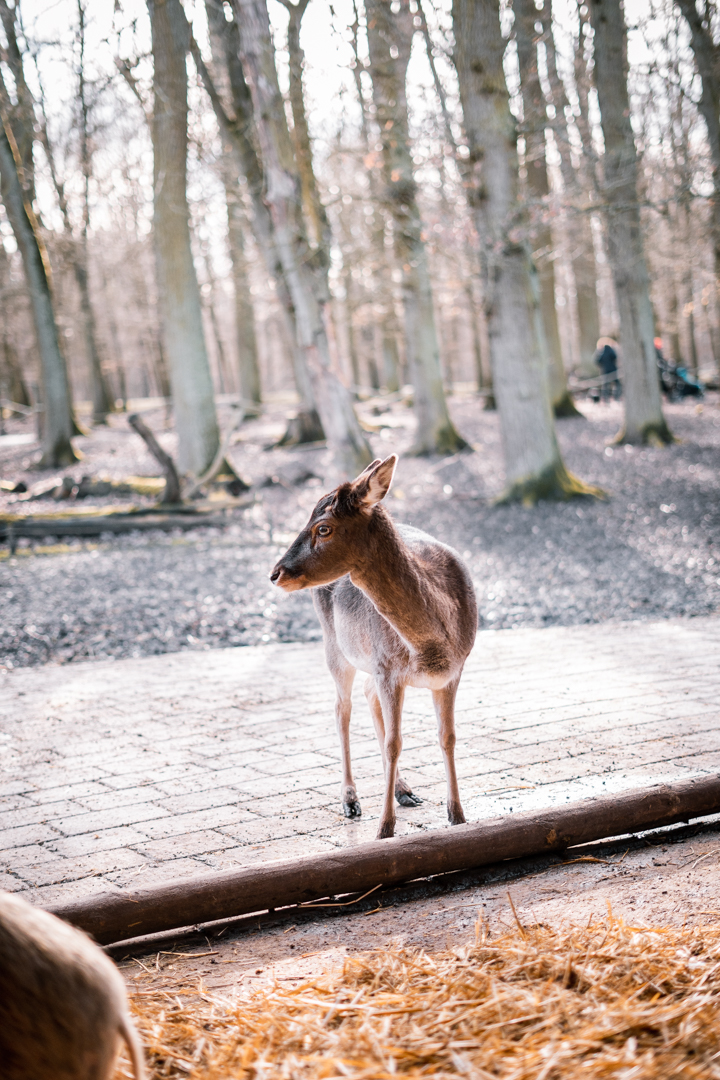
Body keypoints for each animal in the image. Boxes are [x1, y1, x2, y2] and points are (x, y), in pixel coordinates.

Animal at [270, 454, 477, 839]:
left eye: (323, 528)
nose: (276, 573)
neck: (432, 646)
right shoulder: (387, 669)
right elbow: (394, 742)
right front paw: (384, 829)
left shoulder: (453, 671)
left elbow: (448, 737)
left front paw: (458, 816)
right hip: (334, 646)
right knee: (342, 708)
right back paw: (351, 800)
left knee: (366, 695)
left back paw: (404, 790)